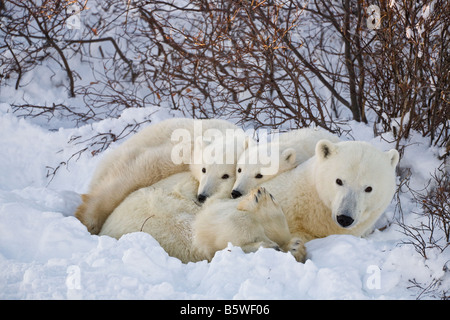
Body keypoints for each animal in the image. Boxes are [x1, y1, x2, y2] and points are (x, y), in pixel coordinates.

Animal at [76, 117, 243, 235]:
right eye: (204, 170)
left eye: (226, 176)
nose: (202, 196)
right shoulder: (179, 150)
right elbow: (141, 170)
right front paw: (89, 219)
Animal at [100, 139, 400, 262]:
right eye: (339, 180)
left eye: (369, 188)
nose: (345, 217)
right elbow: (218, 218)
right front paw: (268, 222)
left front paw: (290, 244)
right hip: (154, 211)